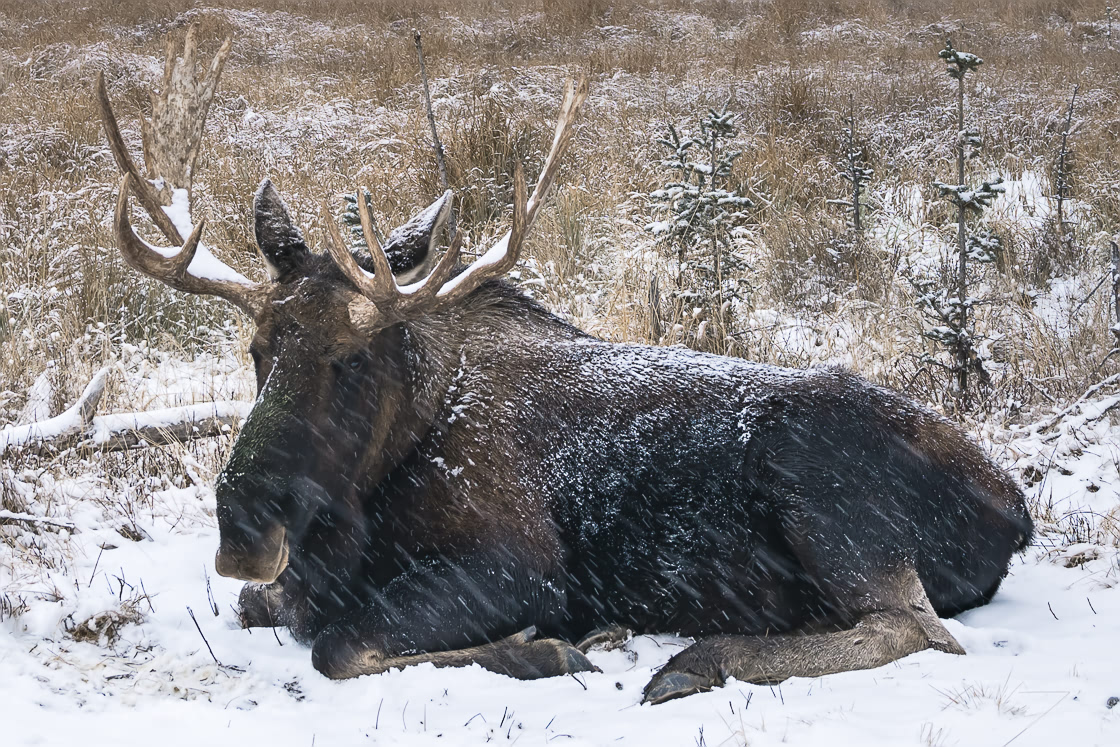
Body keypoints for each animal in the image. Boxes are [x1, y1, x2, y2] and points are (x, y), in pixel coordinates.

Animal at [98, 30, 1030, 707]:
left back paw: (694, 658)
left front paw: (556, 646)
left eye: (352, 357)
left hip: (824, 488)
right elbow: (266, 607)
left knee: (918, 628)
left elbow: (340, 643)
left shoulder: (519, 562)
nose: (244, 525)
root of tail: (1016, 509)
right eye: (258, 349)